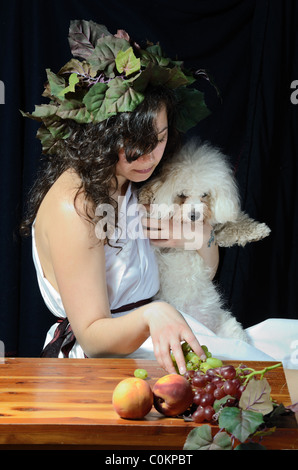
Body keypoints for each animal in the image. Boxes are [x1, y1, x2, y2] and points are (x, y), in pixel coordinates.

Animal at [139, 140, 272, 342]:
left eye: (204, 194)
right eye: (182, 195)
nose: (194, 215)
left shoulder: (214, 230)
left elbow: (233, 225)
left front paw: (259, 230)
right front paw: (146, 194)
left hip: (230, 328)